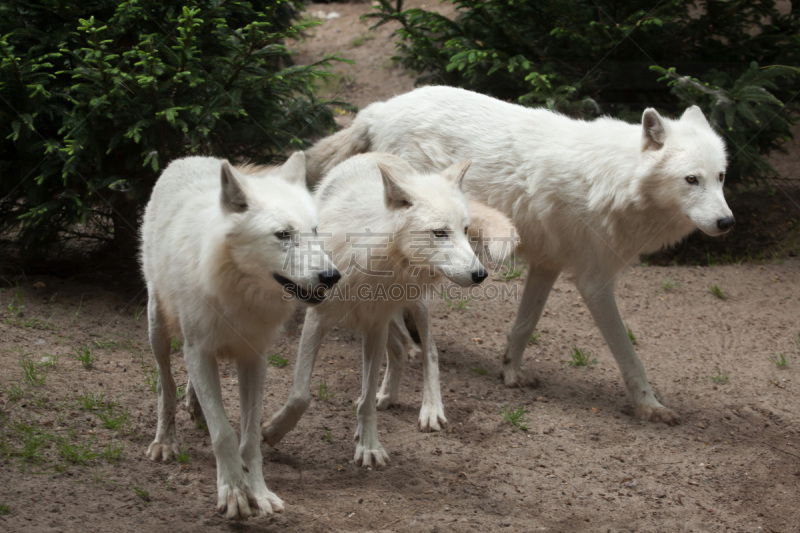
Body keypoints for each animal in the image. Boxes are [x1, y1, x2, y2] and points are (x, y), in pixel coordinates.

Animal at [139, 152, 340, 516]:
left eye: (315, 231)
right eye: (283, 234)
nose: (332, 276)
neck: (241, 292)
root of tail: (188, 157)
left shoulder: (254, 358)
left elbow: (249, 440)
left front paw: (259, 492)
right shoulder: (198, 352)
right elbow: (224, 434)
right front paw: (233, 492)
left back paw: (194, 407)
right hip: (157, 327)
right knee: (165, 383)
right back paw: (165, 441)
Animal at [262, 151, 488, 466]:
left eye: (465, 230)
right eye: (440, 232)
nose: (481, 274)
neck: (372, 255)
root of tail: (379, 154)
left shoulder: (374, 326)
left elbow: (366, 399)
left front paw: (368, 446)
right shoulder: (320, 317)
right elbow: (300, 395)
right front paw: (275, 431)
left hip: (413, 306)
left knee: (429, 350)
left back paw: (430, 408)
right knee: (401, 346)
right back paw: (388, 396)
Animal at [304, 84, 736, 424]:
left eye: (720, 177)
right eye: (691, 180)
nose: (727, 222)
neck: (616, 181)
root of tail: (379, 109)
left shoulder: (548, 264)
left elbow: (525, 324)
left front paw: (511, 372)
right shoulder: (593, 282)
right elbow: (629, 355)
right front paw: (650, 406)